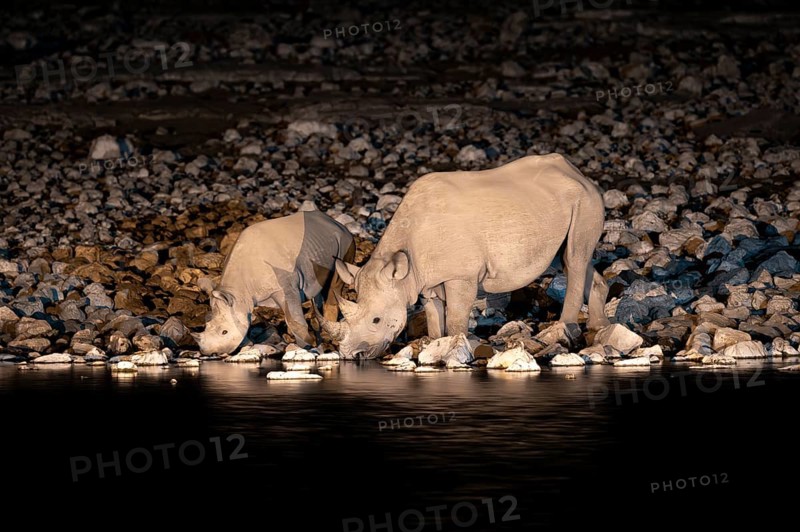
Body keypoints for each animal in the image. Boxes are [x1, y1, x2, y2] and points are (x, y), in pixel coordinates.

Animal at [193, 210, 355, 355]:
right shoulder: (244, 299)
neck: (237, 291)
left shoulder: (286, 288)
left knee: (336, 281)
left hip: (345, 240)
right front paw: (248, 344)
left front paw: (306, 346)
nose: (209, 353)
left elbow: (294, 320)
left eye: (224, 332)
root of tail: (336, 223)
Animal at [318, 154, 610, 359]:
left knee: (574, 260)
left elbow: (457, 317)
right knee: (572, 260)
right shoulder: (425, 279)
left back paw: (563, 331)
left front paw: (456, 345)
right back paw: (599, 328)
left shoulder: (461, 275)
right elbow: (434, 315)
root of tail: (577, 173)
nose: (352, 356)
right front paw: (435, 343)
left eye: (376, 320)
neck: (404, 267)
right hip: (562, 204)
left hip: (585, 201)